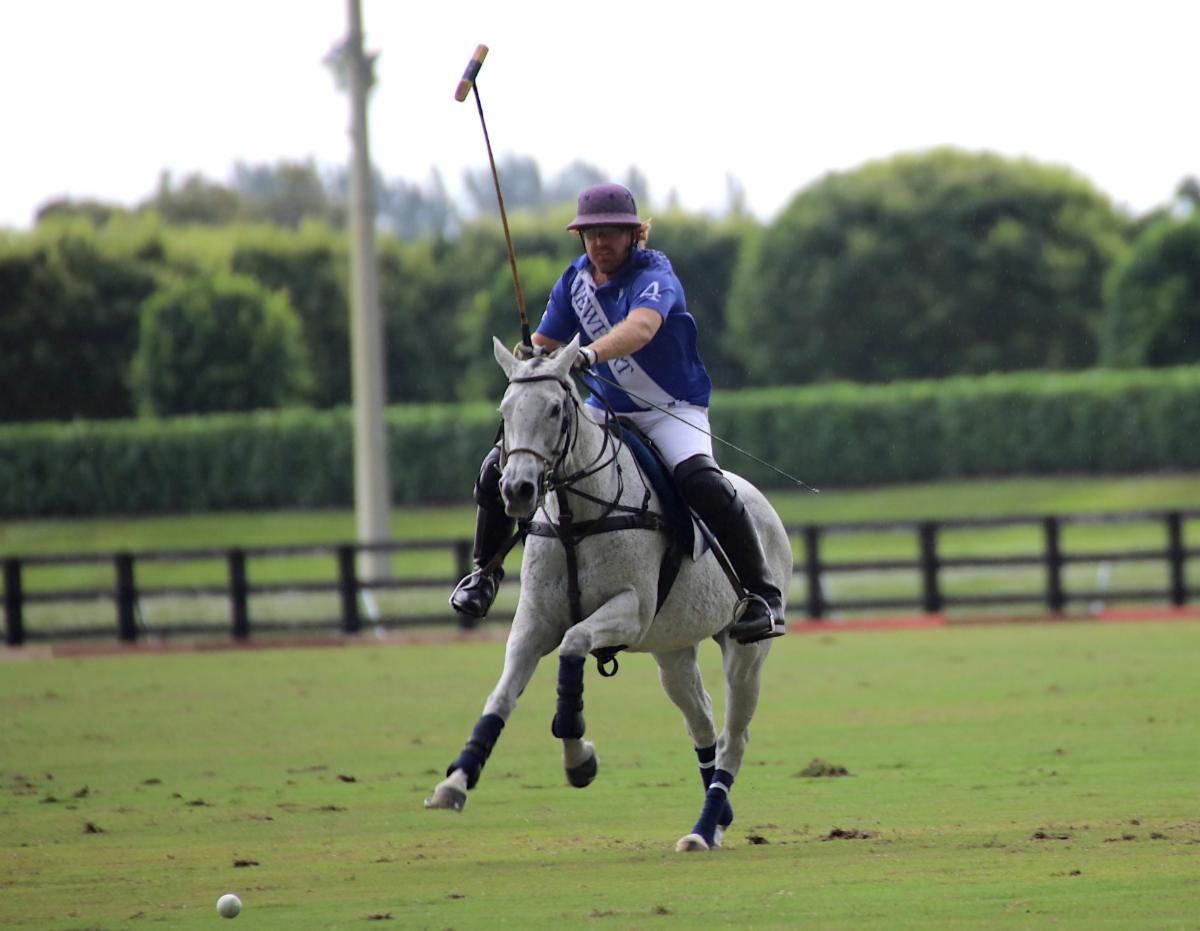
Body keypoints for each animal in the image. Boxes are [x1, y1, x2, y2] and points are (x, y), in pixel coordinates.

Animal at [425, 334, 793, 852]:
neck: (574, 518)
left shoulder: (630, 612)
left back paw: (702, 829)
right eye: (505, 409)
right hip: (673, 648)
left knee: (733, 738)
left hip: (746, 653)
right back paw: (717, 820)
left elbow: (573, 646)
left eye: (556, 409)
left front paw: (578, 757)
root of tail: (761, 500)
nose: (517, 490)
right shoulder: (535, 619)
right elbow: (501, 695)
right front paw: (455, 782)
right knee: (701, 722)